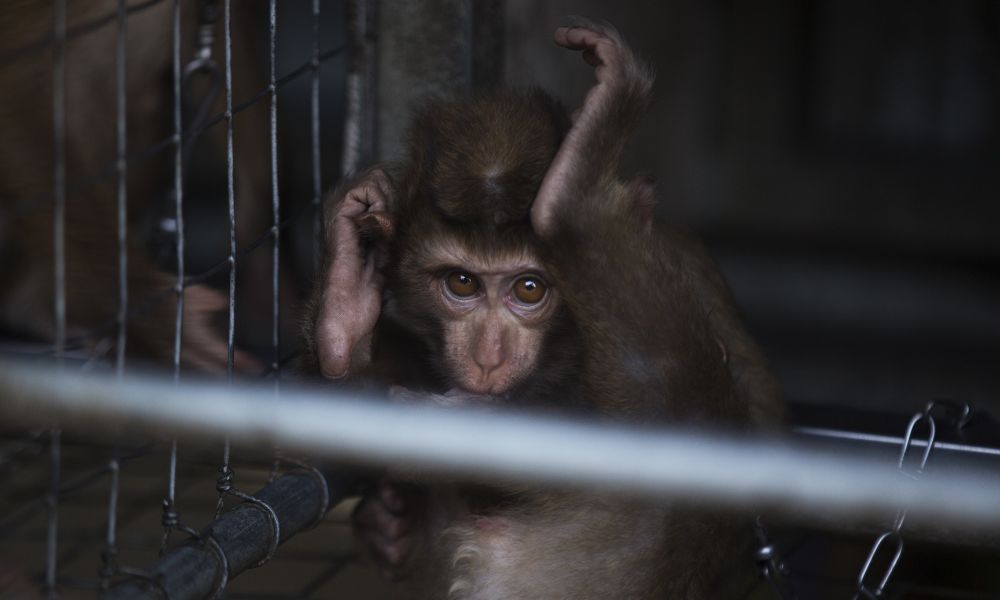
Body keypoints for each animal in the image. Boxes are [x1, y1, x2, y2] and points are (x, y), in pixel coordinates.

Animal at [306, 19, 782, 599]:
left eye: (530, 289)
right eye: (462, 282)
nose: (488, 358)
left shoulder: (683, 262)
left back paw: (574, 197)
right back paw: (342, 324)